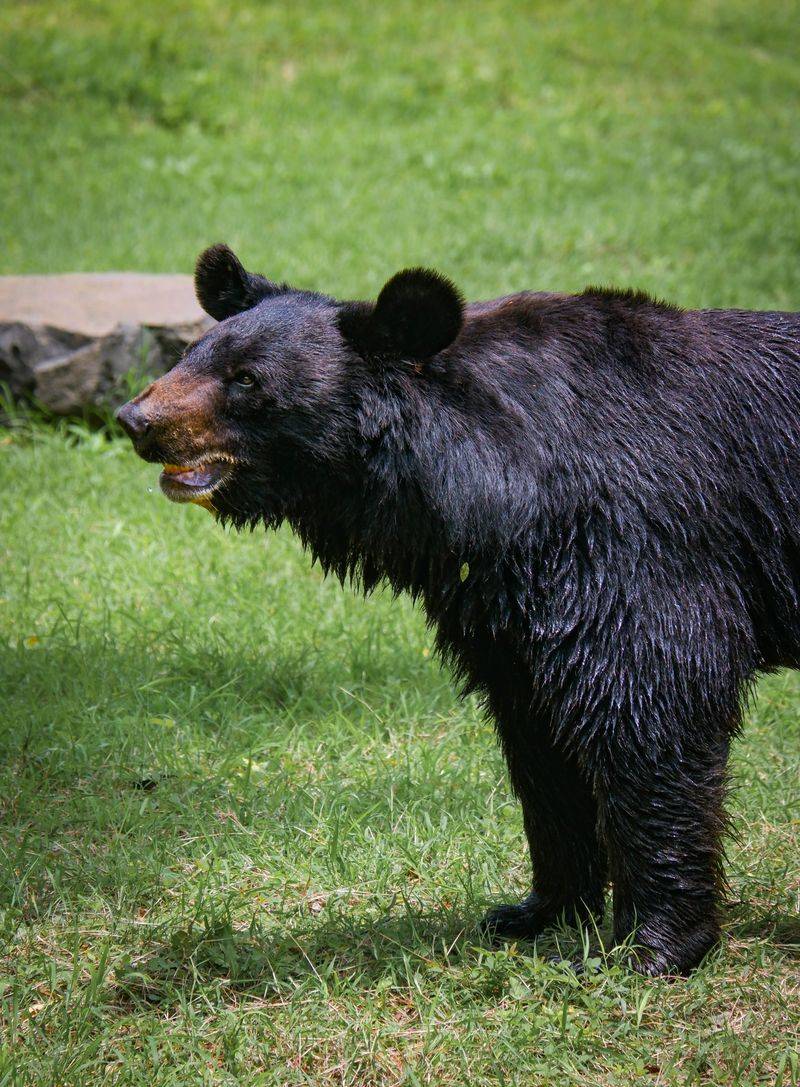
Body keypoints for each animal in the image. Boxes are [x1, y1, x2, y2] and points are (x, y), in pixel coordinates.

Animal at [117, 243, 800, 975]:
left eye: (246, 380)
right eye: (191, 355)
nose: (137, 421)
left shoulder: (640, 537)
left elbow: (650, 708)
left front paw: (651, 945)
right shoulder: (506, 602)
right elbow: (538, 742)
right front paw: (536, 912)